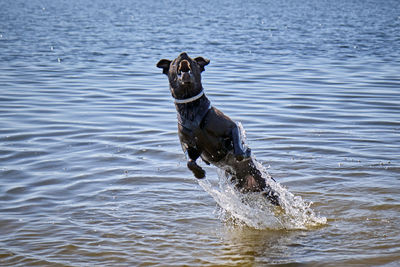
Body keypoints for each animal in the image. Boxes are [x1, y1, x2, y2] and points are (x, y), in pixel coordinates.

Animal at [156, 52, 278, 207]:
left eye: (193, 61)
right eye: (173, 62)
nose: (183, 53)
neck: (191, 109)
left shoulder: (231, 127)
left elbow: (238, 151)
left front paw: (246, 152)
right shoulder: (189, 145)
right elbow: (189, 162)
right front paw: (199, 173)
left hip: (267, 188)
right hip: (242, 191)